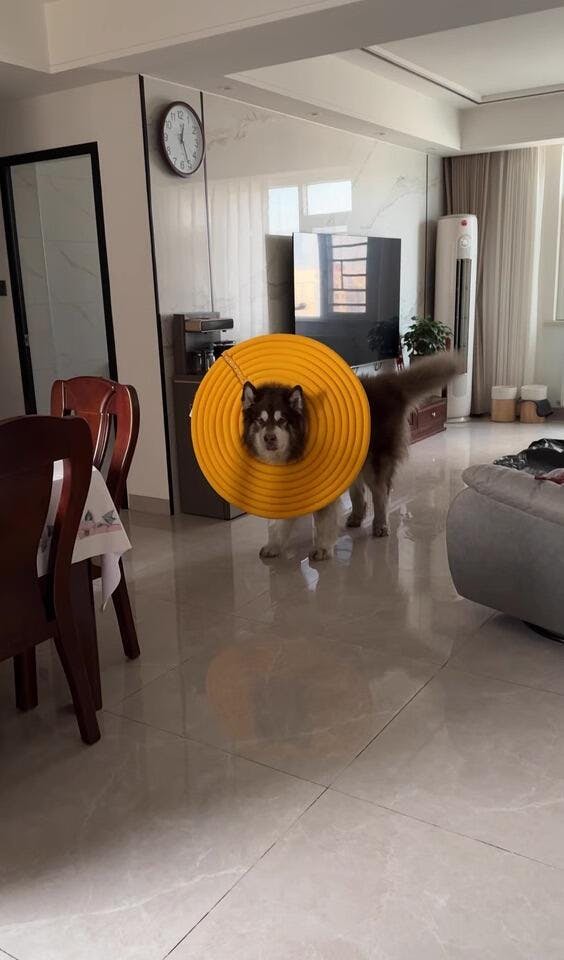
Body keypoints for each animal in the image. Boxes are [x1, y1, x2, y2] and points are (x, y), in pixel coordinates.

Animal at [242, 352, 460, 561]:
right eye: (260, 421)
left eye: (282, 420)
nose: (269, 438)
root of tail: (389, 383)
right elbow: (278, 523)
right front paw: (275, 545)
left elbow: (323, 520)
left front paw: (322, 547)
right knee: (359, 492)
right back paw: (357, 515)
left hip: (375, 462)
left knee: (380, 493)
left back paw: (380, 524)